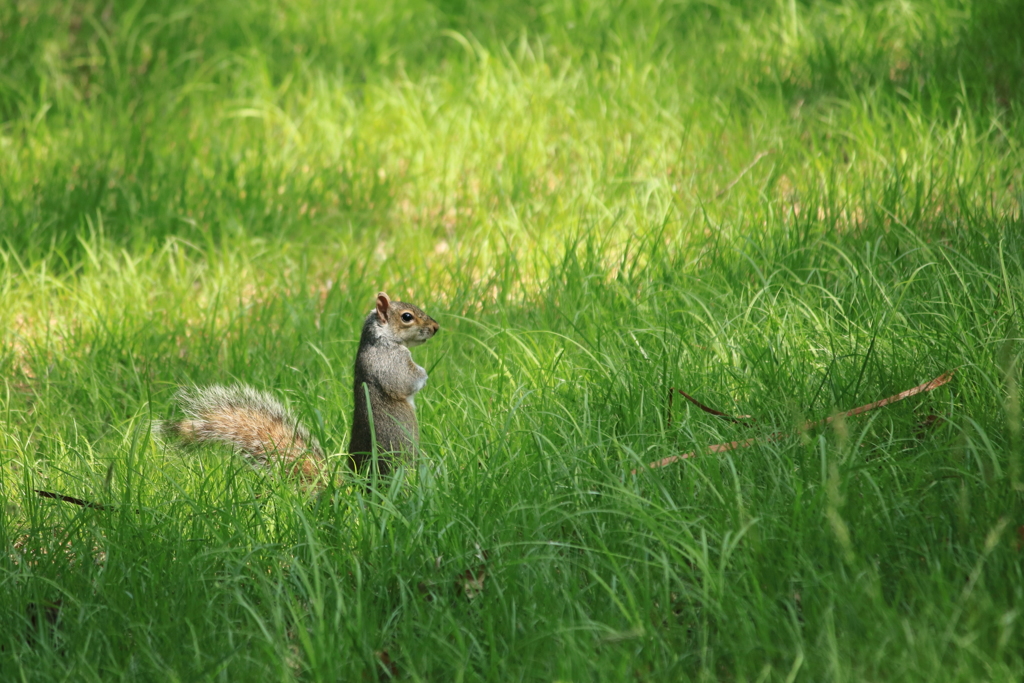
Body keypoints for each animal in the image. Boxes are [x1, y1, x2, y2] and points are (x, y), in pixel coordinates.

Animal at [157, 292, 438, 485]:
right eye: (407, 317)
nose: (436, 328)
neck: (379, 338)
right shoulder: (389, 363)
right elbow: (407, 381)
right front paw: (424, 374)